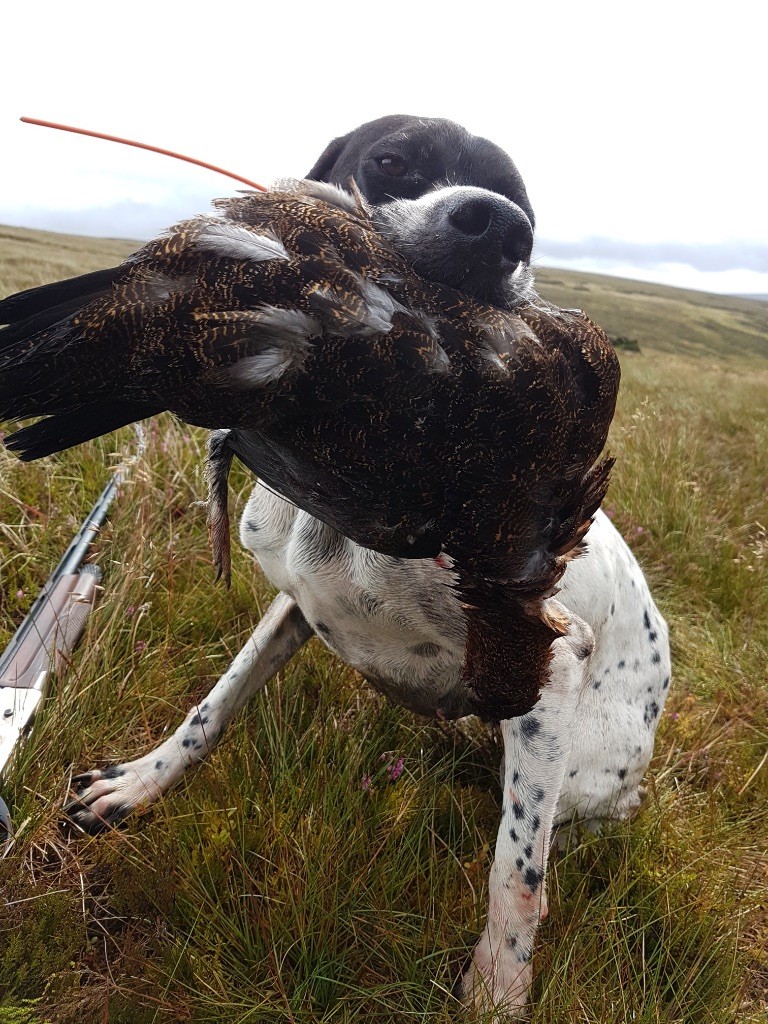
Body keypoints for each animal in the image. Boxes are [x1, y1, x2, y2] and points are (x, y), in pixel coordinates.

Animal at [66, 117, 671, 1015]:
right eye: (392, 159)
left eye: (526, 208)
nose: (498, 229)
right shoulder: (294, 606)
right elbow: (214, 706)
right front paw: (140, 784)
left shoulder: (548, 654)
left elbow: (515, 873)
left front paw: (499, 987)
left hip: (585, 762)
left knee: (554, 827)